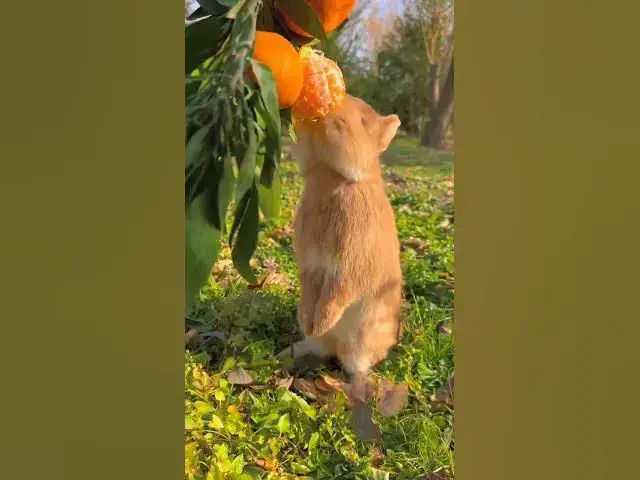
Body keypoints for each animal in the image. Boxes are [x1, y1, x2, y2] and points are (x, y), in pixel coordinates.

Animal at [280, 95, 404, 382]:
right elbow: (311, 288)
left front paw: (321, 322)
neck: (335, 177)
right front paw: (309, 321)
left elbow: (337, 292)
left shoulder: (350, 264)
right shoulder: (311, 262)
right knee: (319, 347)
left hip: (361, 340)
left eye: (362, 120)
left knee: (355, 363)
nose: (330, 112)